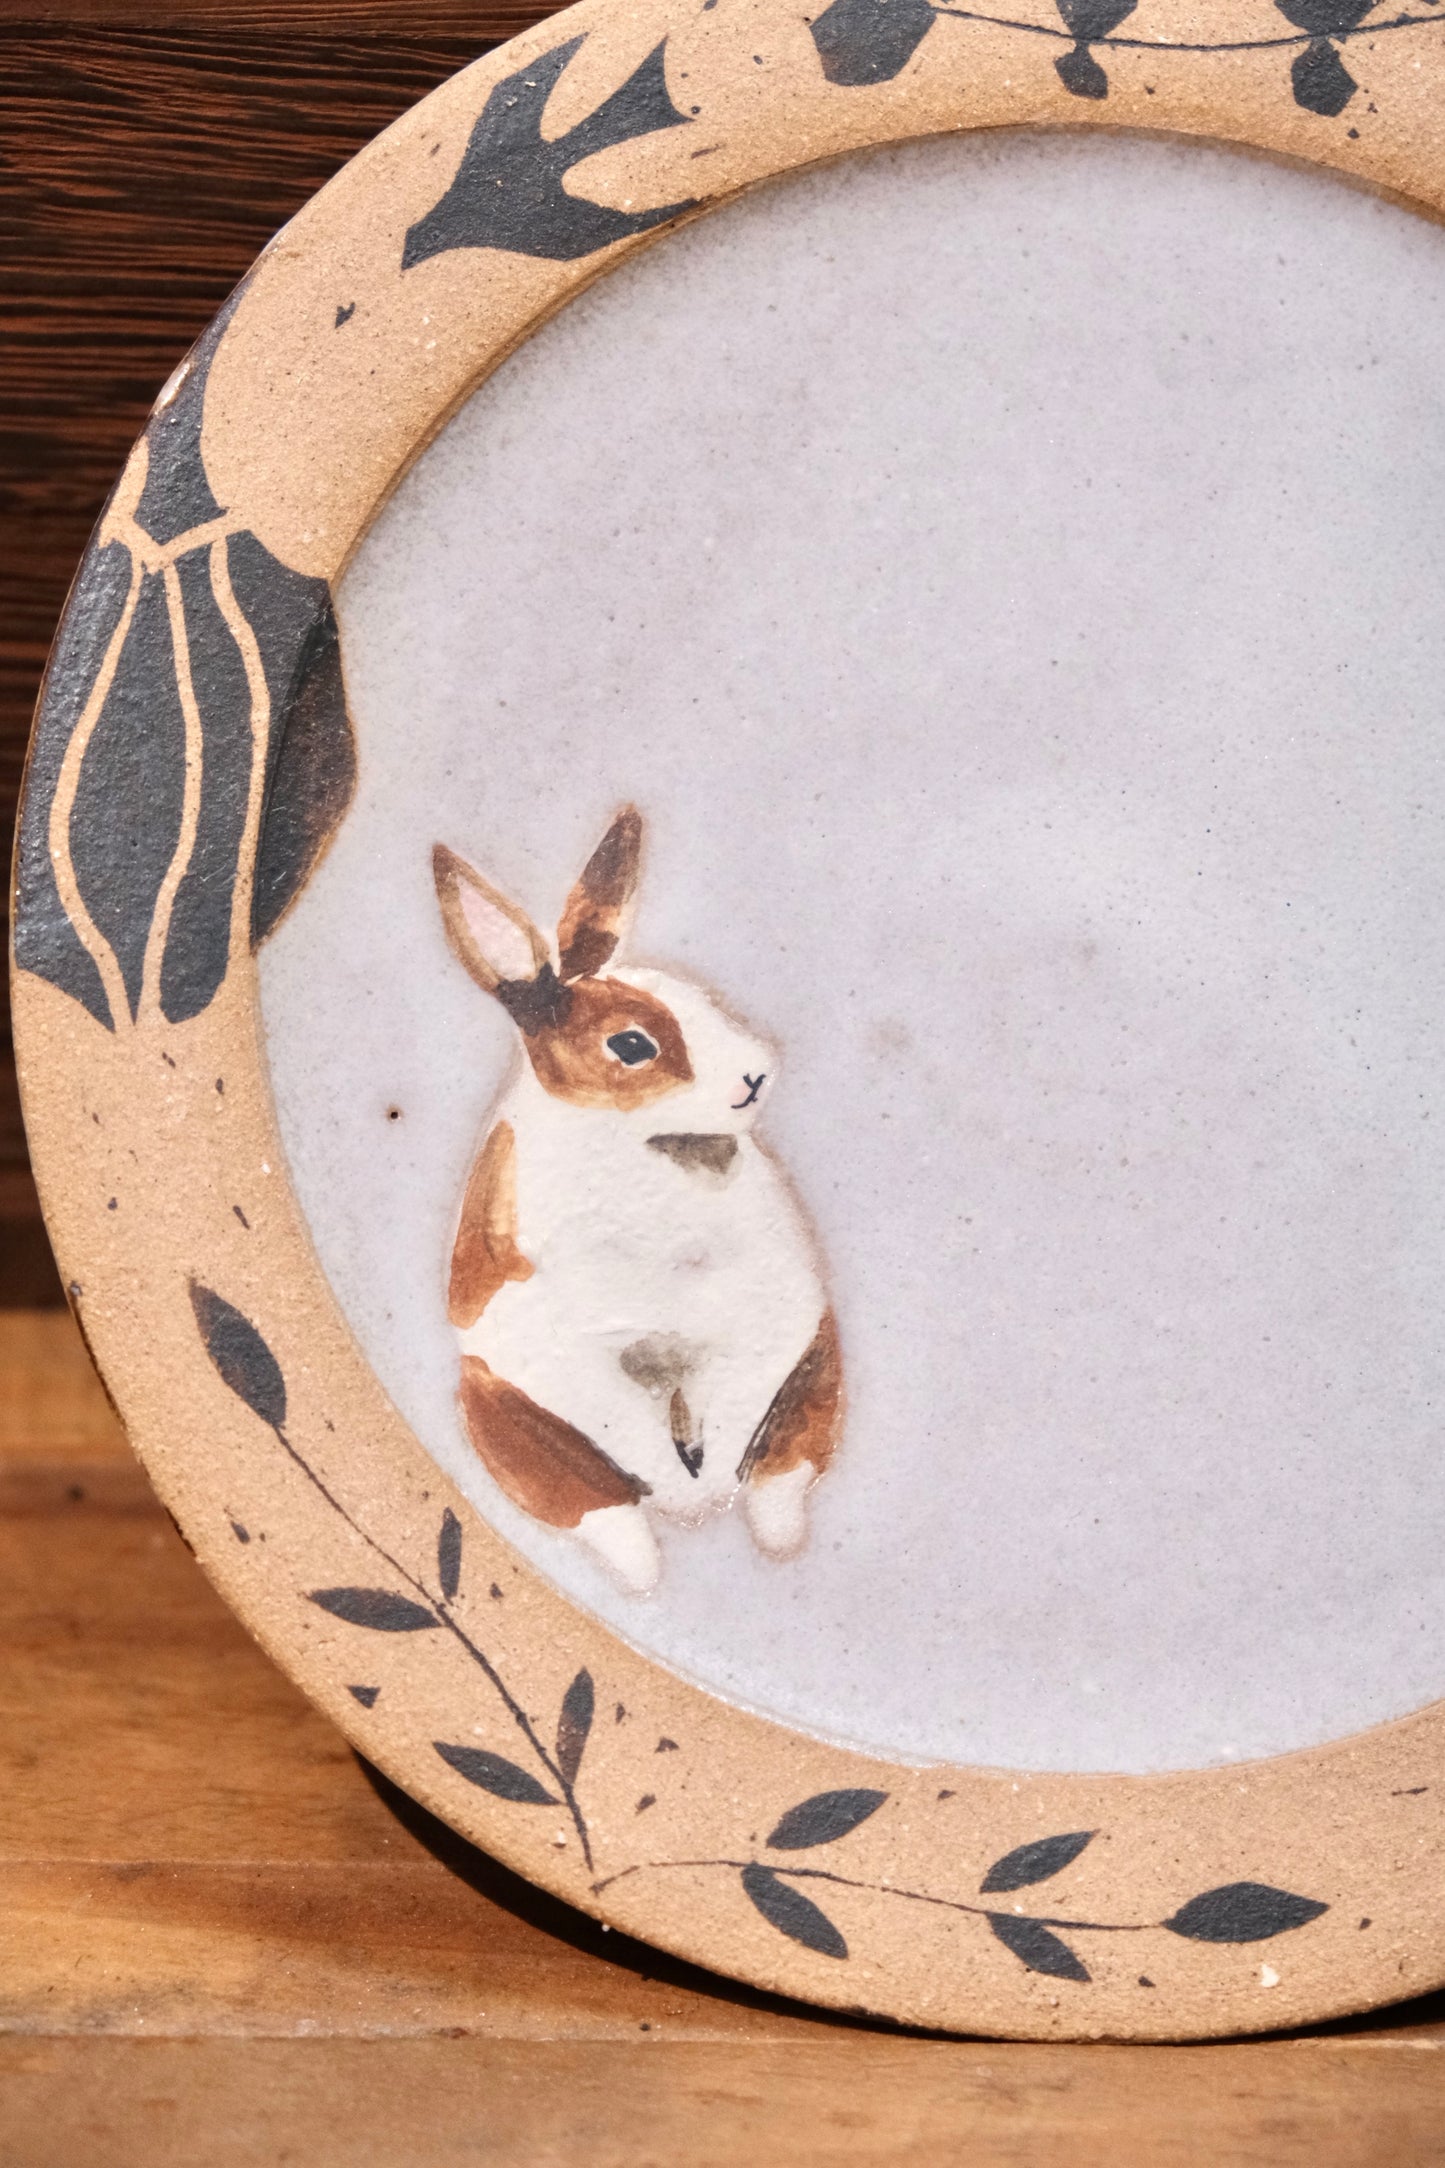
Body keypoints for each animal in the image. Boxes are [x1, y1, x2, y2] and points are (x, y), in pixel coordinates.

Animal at [433, 806, 842, 1594]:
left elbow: (734, 1401)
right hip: (496, 1415)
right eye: (631, 1045)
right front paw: (685, 1498)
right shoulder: (560, 1350)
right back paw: (655, 1564)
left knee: (777, 1486)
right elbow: (628, 1435)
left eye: (705, 1001)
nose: (755, 1074)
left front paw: (702, 1495)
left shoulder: (769, 1319)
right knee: (611, 1519)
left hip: (816, 1377)